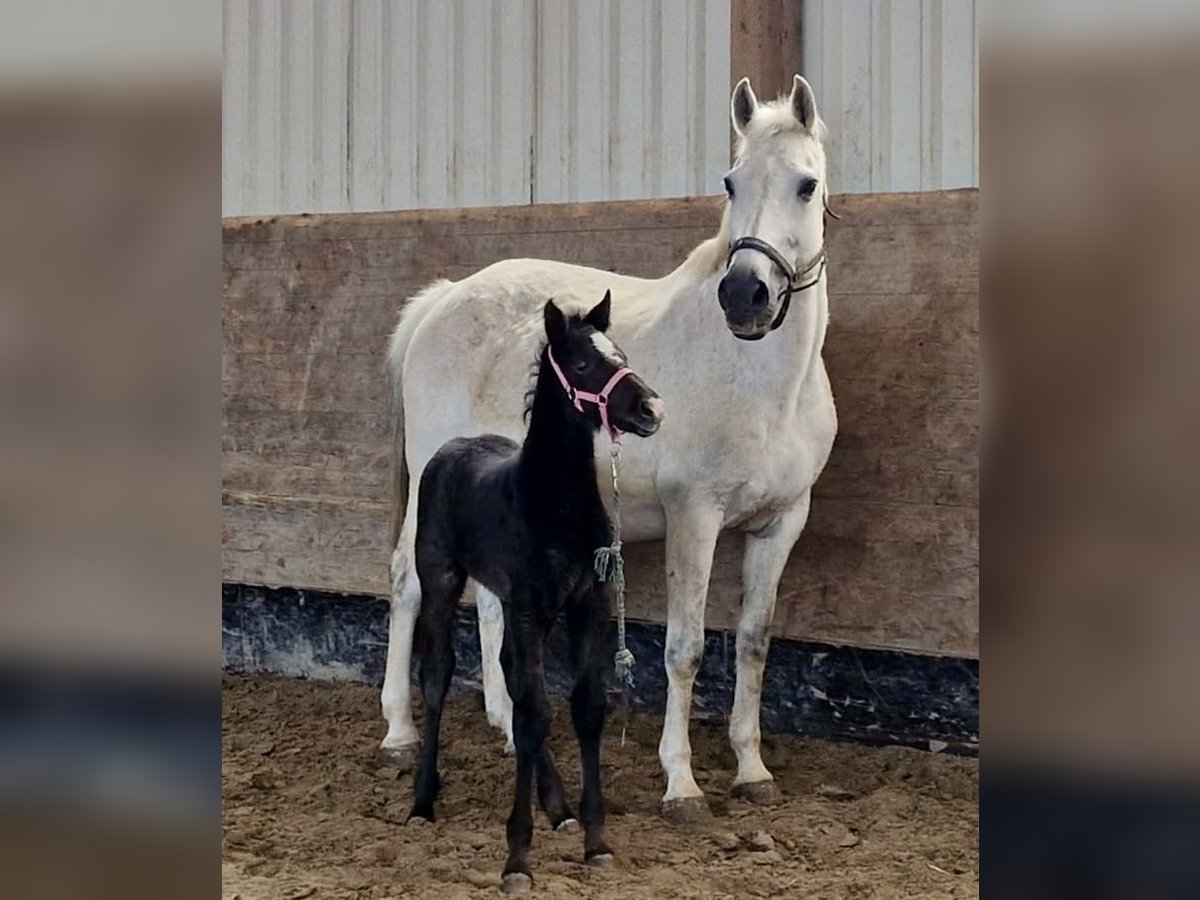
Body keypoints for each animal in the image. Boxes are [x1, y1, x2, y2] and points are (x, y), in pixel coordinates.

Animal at [381, 77, 835, 825]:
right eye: (730, 181)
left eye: (807, 184)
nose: (745, 295)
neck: (762, 384)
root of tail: (442, 302)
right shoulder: (694, 518)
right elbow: (685, 649)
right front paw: (681, 784)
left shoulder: (783, 523)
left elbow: (754, 641)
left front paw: (751, 770)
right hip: (427, 490)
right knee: (406, 583)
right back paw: (397, 730)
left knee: (492, 602)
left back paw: (509, 729)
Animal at [405, 292, 667, 892]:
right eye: (583, 363)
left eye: (621, 353)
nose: (652, 410)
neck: (554, 504)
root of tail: (452, 446)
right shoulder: (530, 608)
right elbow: (531, 716)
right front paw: (517, 859)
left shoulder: (585, 605)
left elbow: (582, 708)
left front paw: (595, 840)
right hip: (441, 579)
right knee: (438, 674)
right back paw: (422, 801)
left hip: (510, 601)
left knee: (510, 673)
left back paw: (559, 807)